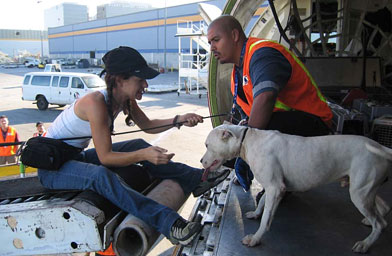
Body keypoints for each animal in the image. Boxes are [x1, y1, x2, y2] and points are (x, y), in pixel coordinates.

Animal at [201, 123, 390, 252]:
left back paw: (365, 244)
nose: (201, 161)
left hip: (359, 193)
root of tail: (381, 147)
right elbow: (263, 203)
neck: (246, 140)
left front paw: (255, 239)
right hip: (363, 189)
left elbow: (266, 218)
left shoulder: (275, 188)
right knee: (384, 208)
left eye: (207, 145)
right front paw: (255, 214)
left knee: (380, 224)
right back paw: (369, 222)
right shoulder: (274, 187)